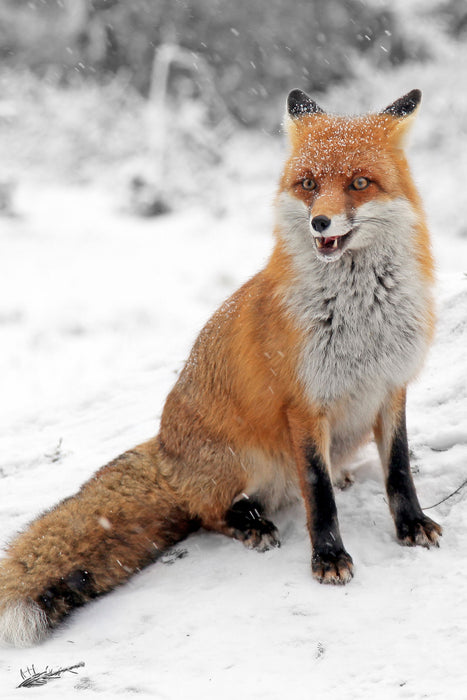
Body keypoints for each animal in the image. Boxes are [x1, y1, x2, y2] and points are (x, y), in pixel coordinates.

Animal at [0, 89, 442, 644]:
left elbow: (398, 471)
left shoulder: (391, 386)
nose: (320, 222)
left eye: (359, 184)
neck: (361, 317)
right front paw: (328, 557)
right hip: (245, 460)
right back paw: (248, 523)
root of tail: (163, 450)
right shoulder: (303, 406)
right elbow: (318, 495)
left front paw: (411, 525)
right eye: (308, 185)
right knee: (206, 512)